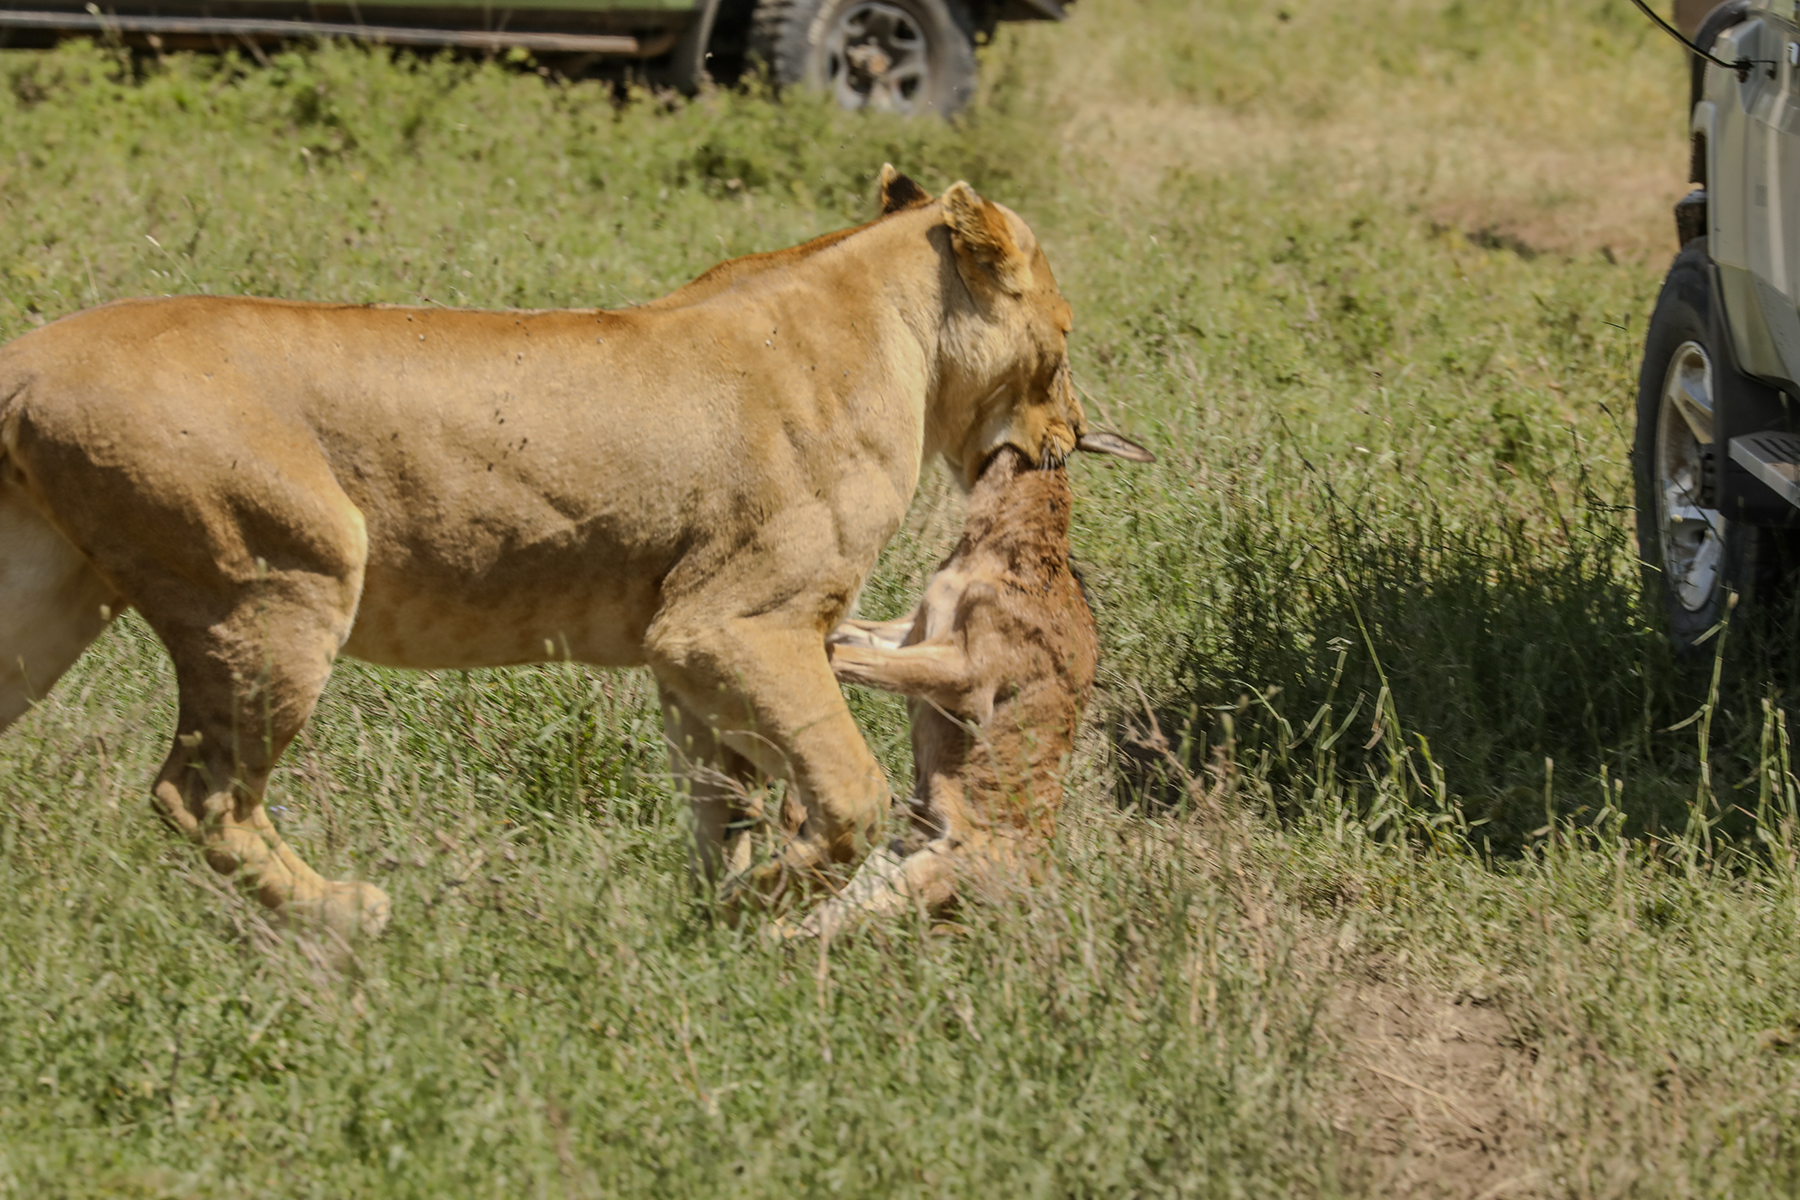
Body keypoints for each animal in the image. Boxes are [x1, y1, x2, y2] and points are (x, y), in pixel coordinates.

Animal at [0, 168, 1146, 940]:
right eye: (1063, 336)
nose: (1074, 434)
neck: (898, 336)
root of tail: (31, 354)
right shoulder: (736, 622)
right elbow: (851, 794)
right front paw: (763, 911)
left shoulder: (684, 652)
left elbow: (725, 804)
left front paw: (717, 925)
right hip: (283, 580)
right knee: (200, 796)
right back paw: (351, 915)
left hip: (48, 605)